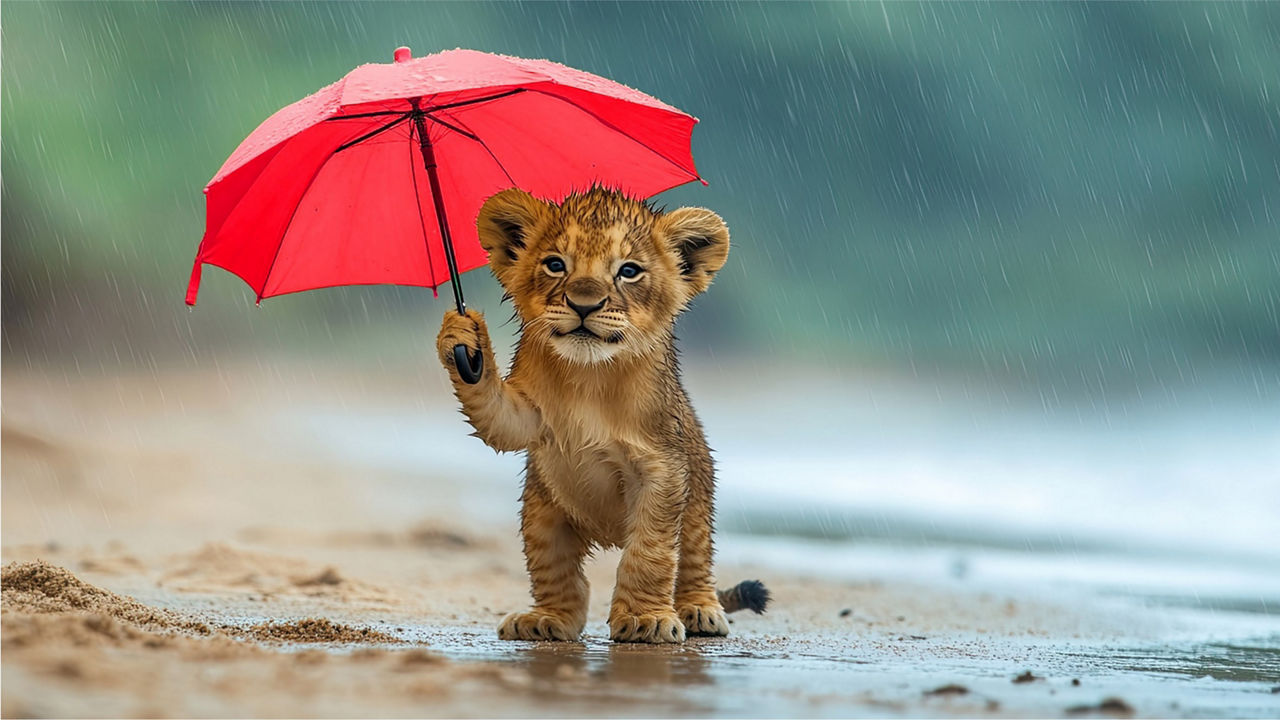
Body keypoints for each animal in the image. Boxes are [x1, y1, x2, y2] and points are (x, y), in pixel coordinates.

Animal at [436, 186, 768, 644]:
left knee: (694, 559)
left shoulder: (663, 467)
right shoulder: (528, 415)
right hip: (542, 511)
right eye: (556, 264)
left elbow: (649, 552)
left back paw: (700, 610)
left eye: (628, 271)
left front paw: (645, 620)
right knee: (556, 571)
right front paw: (462, 334)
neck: (588, 376)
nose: (584, 304)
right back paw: (547, 619)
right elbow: (500, 421)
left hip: (698, 498)